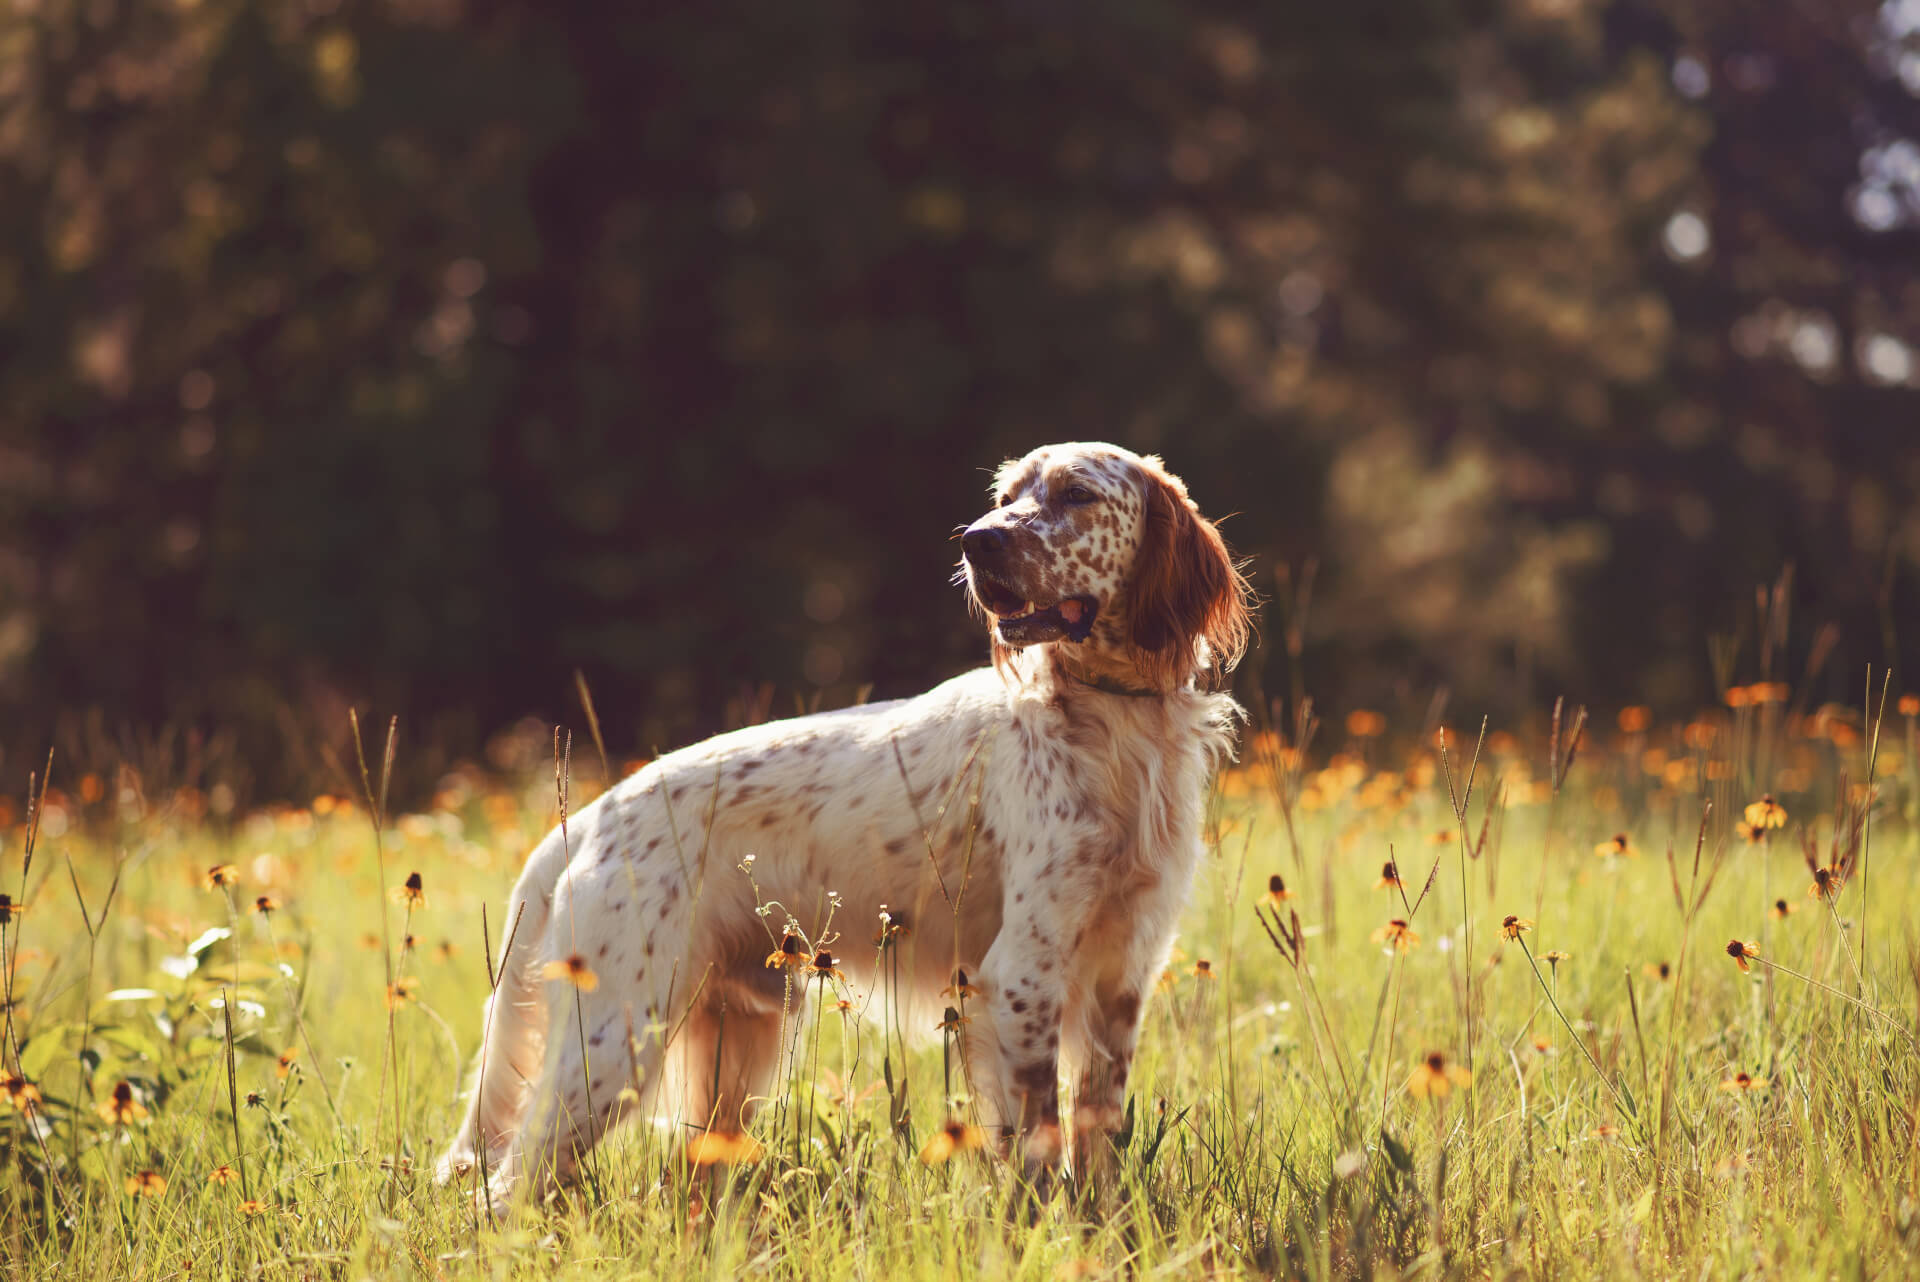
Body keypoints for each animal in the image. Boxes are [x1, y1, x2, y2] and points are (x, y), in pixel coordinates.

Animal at [437, 441, 1251, 1212]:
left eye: (1076, 494)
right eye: (1005, 498)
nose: (976, 541)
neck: (1111, 724)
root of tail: (588, 821)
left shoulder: (1122, 977)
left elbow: (1097, 1140)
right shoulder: (1022, 975)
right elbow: (1039, 1149)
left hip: (734, 1045)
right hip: (616, 1037)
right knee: (507, 1186)